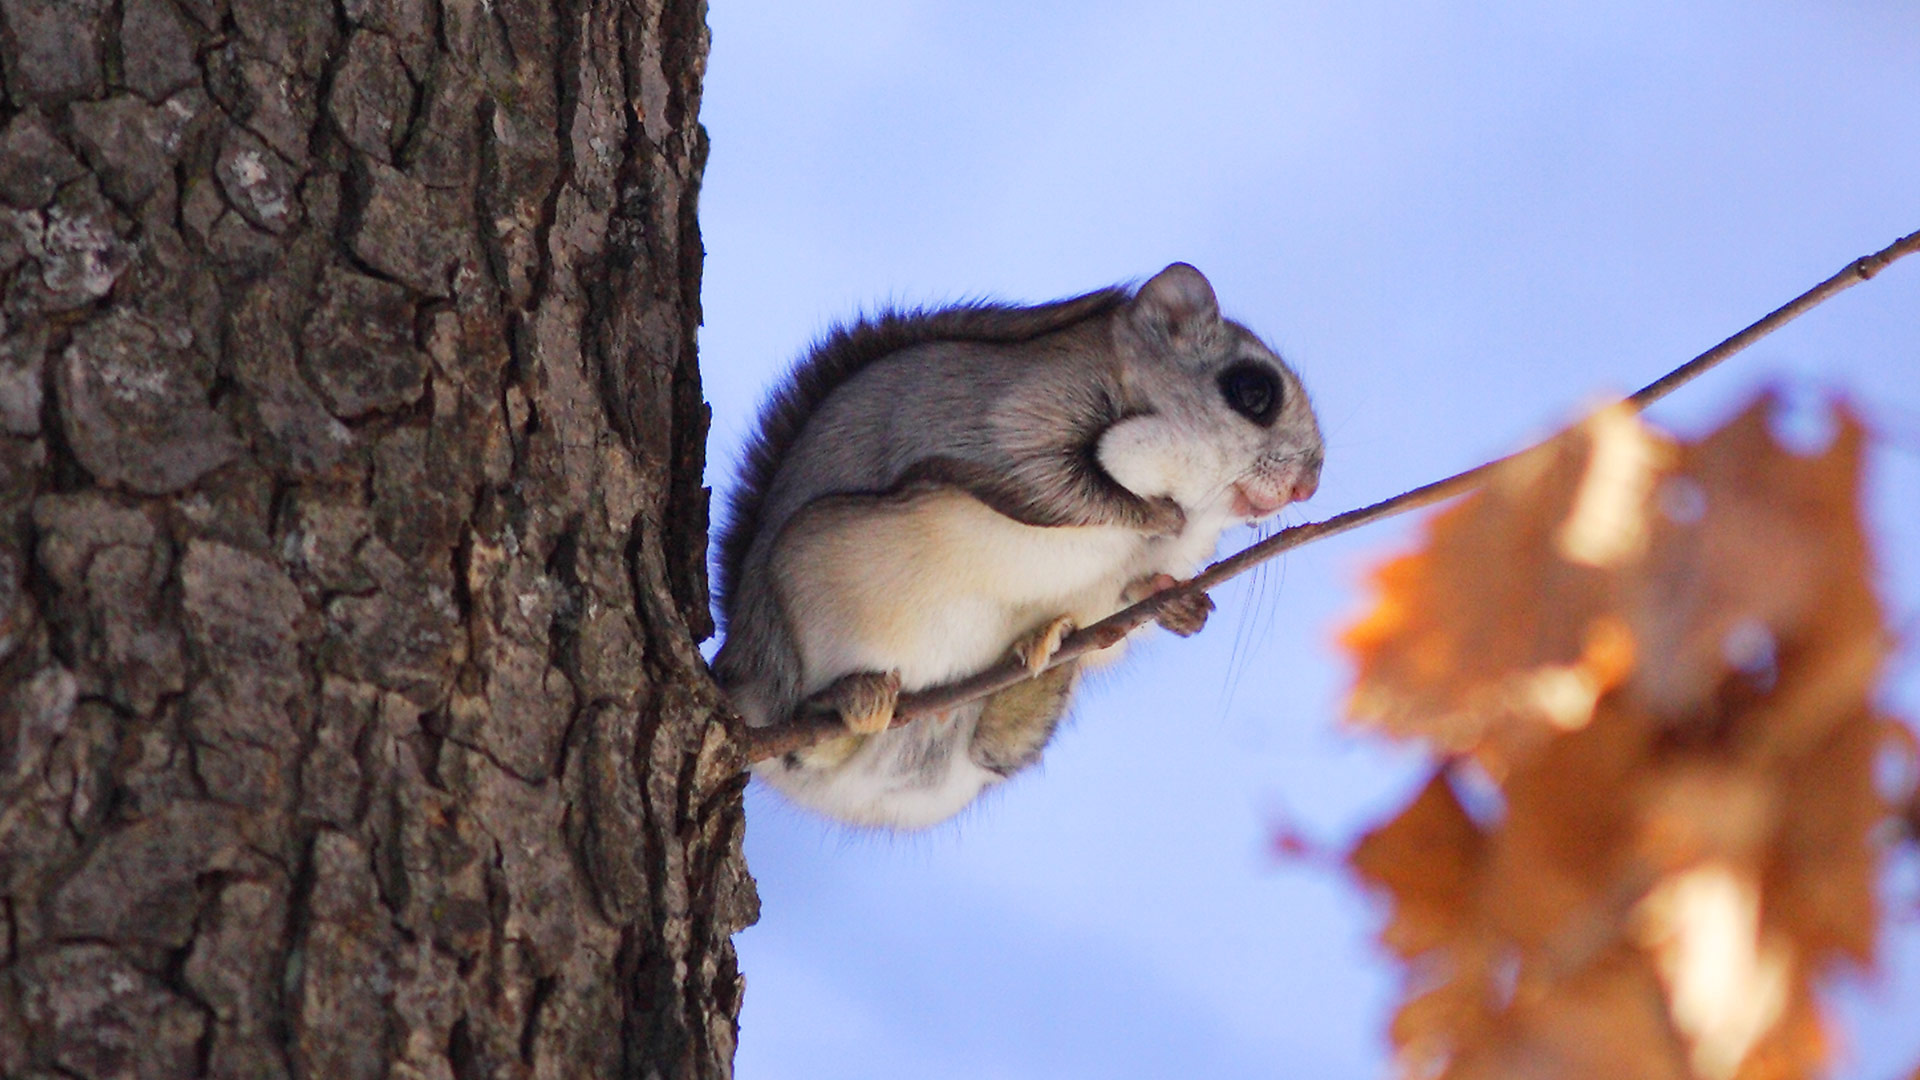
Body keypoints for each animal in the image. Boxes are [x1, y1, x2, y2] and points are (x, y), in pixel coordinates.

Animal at [714, 265, 1328, 826]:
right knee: (803, 740)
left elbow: (1137, 585)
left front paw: (1178, 603)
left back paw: (1043, 654)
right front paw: (1154, 513)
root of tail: (741, 671)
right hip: (814, 584)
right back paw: (853, 699)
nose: (1309, 485)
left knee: (993, 746)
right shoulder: (1018, 413)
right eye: (1252, 391)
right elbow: (1049, 484)